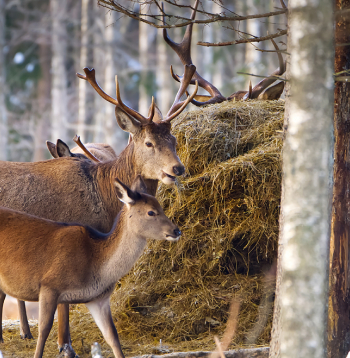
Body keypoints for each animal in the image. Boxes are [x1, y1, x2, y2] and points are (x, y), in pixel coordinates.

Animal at [0, 176, 180, 358]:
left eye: (161, 206)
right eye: (151, 212)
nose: (176, 230)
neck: (96, 265)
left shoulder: (99, 299)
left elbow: (112, 336)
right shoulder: (49, 286)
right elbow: (44, 330)